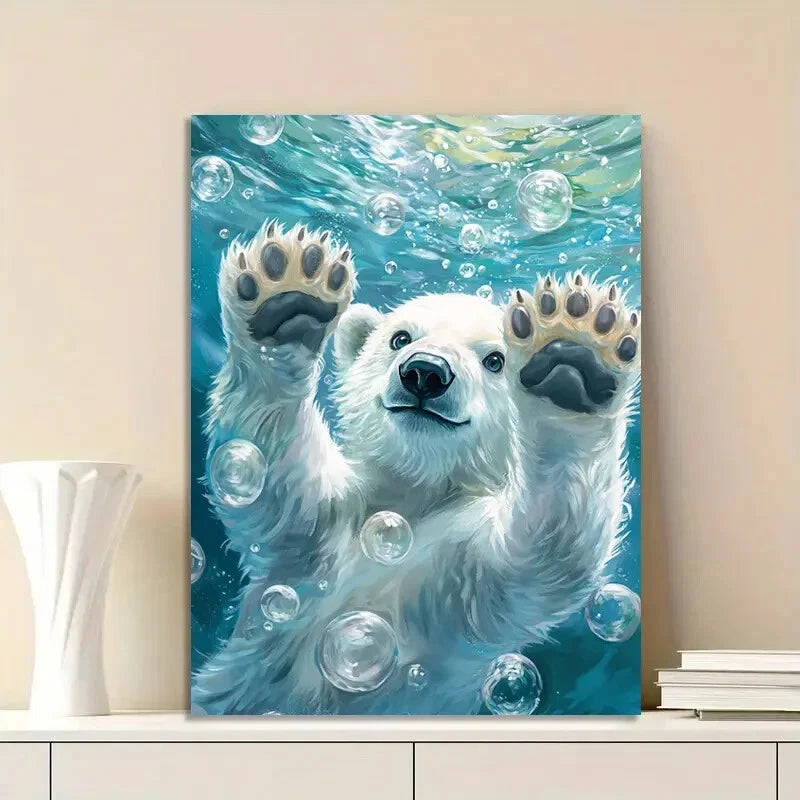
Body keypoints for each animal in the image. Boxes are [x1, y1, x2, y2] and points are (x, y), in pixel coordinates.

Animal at [192, 218, 641, 715]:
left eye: (495, 360)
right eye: (401, 338)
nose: (425, 371)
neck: (407, 510)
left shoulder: (462, 591)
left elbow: (548, 551)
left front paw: (573, 352)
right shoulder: (312, 546)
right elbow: (268, 474)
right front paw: (284, 292)